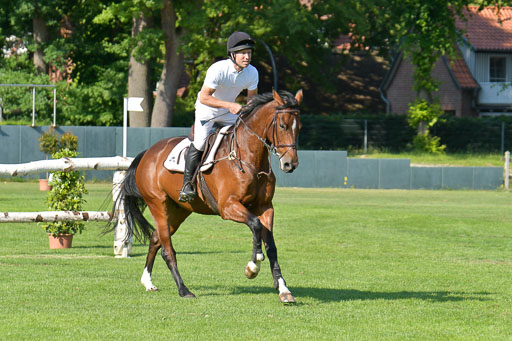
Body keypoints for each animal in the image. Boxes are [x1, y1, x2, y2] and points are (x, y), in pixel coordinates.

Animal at [114, 88, 302, 302]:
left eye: (299, 128)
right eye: (282, 125)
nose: (290, 164)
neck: (249, 158)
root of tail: (148, 153)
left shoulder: (265, 207)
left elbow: (271, 245)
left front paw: (283, 289)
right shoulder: (228, 207)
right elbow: (255, 226)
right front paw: (252, 266)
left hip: (179, 210)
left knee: (156, 238)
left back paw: (148, 281)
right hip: (158, 205)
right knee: (167, 249)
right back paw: (184, 290)